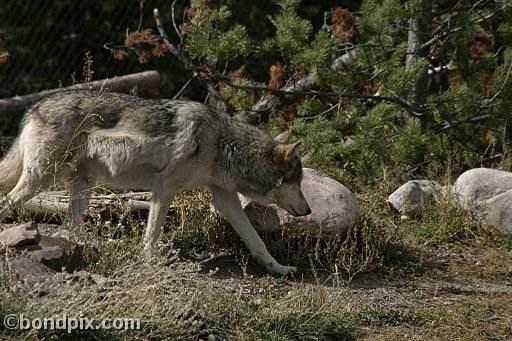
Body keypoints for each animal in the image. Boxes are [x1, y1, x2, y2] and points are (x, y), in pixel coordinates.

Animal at [0, 89, 312, 274]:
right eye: (297, 182)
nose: (308, 210)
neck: (223, 144)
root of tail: (35, 105)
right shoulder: (165, 188)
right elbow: (152, 234)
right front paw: (150, 263)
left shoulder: (224, 198)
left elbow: (256, 240)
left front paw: (279, 268)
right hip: (43, 178)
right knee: (8, 201)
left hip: (80, 184)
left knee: (70, 227)